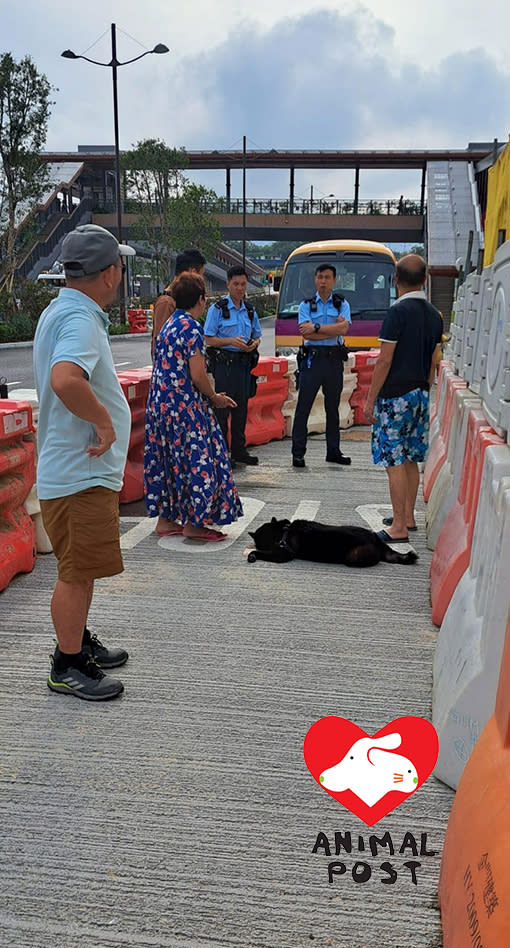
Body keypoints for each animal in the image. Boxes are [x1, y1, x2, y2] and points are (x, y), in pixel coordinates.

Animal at [247, 516, 418, 568]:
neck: (282, 531)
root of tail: (375, 537)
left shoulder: (283, 554)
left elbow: (261, 552)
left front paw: (252, 554)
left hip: (353, 557)